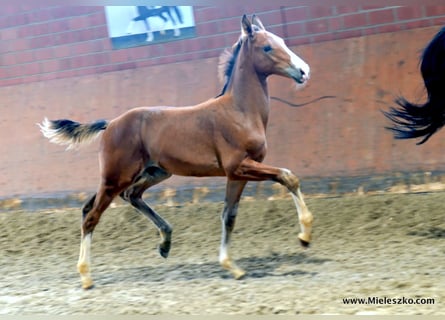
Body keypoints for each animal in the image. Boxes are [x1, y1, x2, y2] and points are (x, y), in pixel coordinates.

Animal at [40, 15, 312, 290]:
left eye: (282, 41)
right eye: (267, 47)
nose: (304, 71)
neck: (240, 111)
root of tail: (111, 123)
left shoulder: (237, 174)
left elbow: (229, 215)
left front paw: (232, 266)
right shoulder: (239, 166)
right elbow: (287, 176)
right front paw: (304, 236)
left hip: (151, 173)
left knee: (123, 198)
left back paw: (165, 243)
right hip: (116, 178)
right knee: (92, 216)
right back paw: (86, 276)